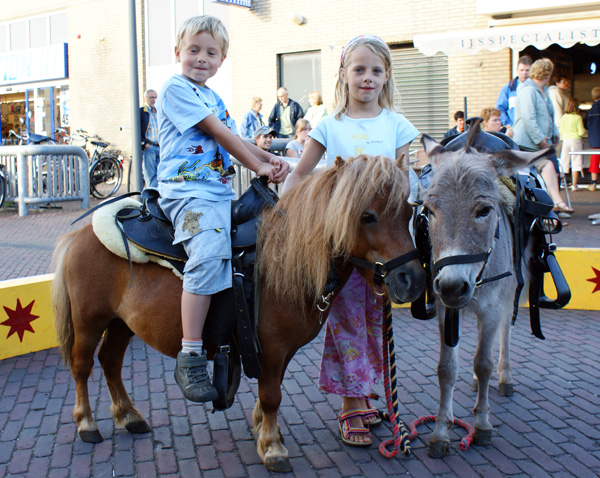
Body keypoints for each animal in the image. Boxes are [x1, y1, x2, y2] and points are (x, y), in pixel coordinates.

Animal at [52, 153, 426, 470]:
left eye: (409, 213)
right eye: (367, 216)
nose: (412, 280)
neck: (284, 260)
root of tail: (81, 234)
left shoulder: (279, 352)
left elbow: (271, 391)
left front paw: (262, 428)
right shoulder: (271, 349)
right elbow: (272, 394)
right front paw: (273, 447)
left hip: (121, 323)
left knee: (110, 362)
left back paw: (129, 416)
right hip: (89, 322)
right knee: (82, 366)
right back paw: (86, 422)